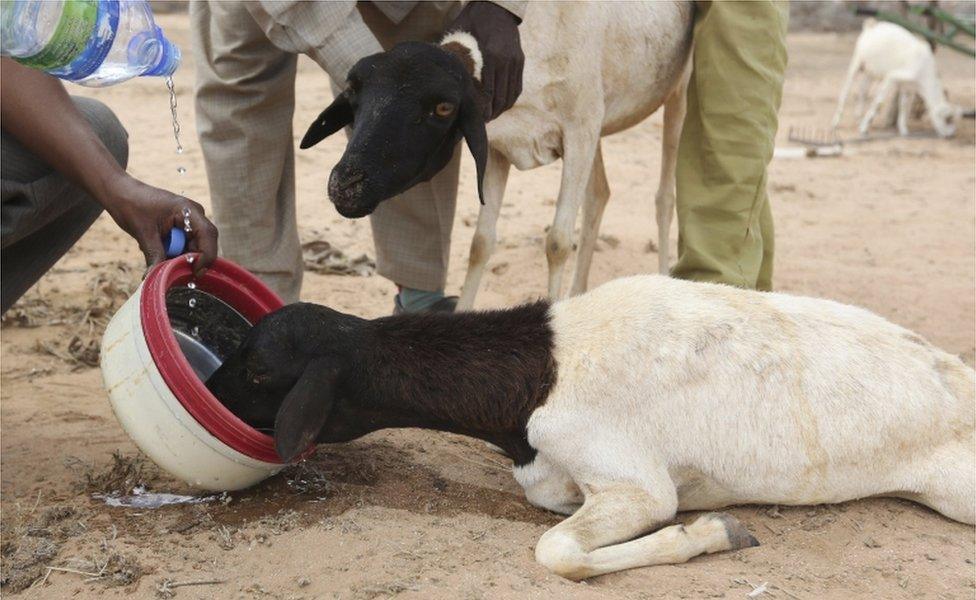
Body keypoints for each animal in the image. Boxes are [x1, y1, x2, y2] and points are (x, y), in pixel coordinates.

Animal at [207, 274, 975, 580]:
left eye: (256, 370)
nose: (207, 388)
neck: (541, 367)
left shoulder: (630, 479)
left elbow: (562, 552)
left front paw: (713, 532)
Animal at [299, 2, 694, 309]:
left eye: (443, 108)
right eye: (353, 93)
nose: (344, 185)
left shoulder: (580, 130)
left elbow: (557, 242)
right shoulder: (499, 146)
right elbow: (481, 244)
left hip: (677, 96)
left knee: (664, 199)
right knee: (599, 195)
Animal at [832, 19, 961, 138]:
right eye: (948, 119)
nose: (951, 135)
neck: (924, 69)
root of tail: (871, 25)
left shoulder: (907, 87)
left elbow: (904, 106)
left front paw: (904, 131)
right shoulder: (892, 77)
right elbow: (879, 102)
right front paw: (863, 129)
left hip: (870, 72)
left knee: (863, 90)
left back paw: (858, 118)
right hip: (857, 62)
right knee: (846, 90)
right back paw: (836, 122)